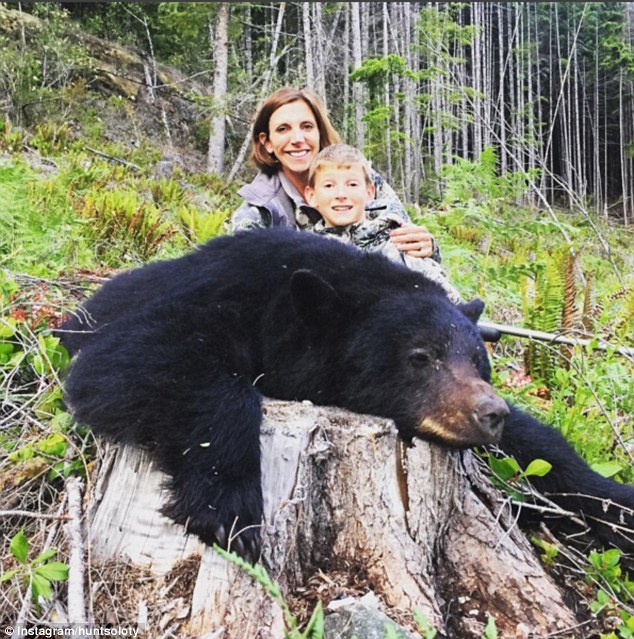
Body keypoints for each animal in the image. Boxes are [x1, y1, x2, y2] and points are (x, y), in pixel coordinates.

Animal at [58, 229, 628, 560]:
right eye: (420, 356)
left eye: (478, 361)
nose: (490, 412)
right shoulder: (220, 294)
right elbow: (130, 360)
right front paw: (227, 508)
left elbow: (544, 448)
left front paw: (620, 506)